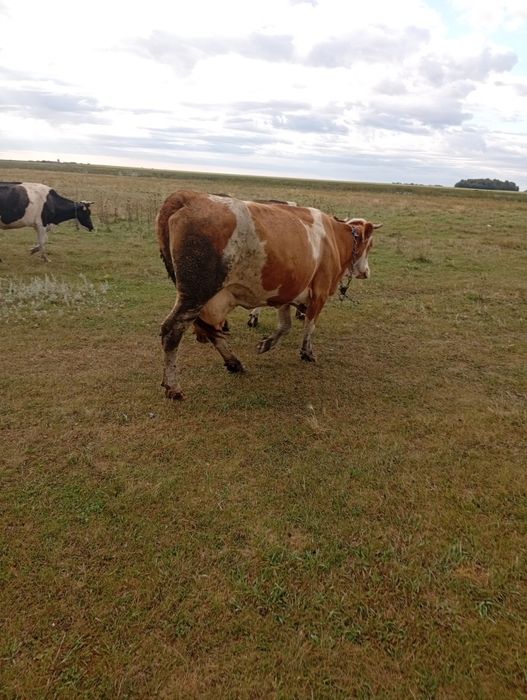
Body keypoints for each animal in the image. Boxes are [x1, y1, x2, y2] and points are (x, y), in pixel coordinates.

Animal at [156, 190, 380, 400]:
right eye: (370, 245)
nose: (366, 272)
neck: (334, 237)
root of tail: (187, 197)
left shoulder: (288, 291)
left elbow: (285, 325)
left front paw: (267, 343)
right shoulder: (320, 292)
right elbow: (310, 325)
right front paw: (306, 352)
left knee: (210, 330)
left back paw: (234, 363)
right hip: (196, 295)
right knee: (172, 331)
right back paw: (173, 387)